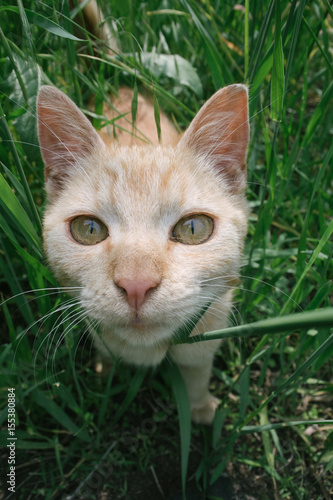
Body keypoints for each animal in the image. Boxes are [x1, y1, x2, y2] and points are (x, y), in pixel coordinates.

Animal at [37, 4, 248, 426]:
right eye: (88, 229)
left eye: (193, 228)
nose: (136, 285)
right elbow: (106, 352)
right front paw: (104, 378)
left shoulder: (211, 326)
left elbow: (197, 372)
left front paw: (200, 410)